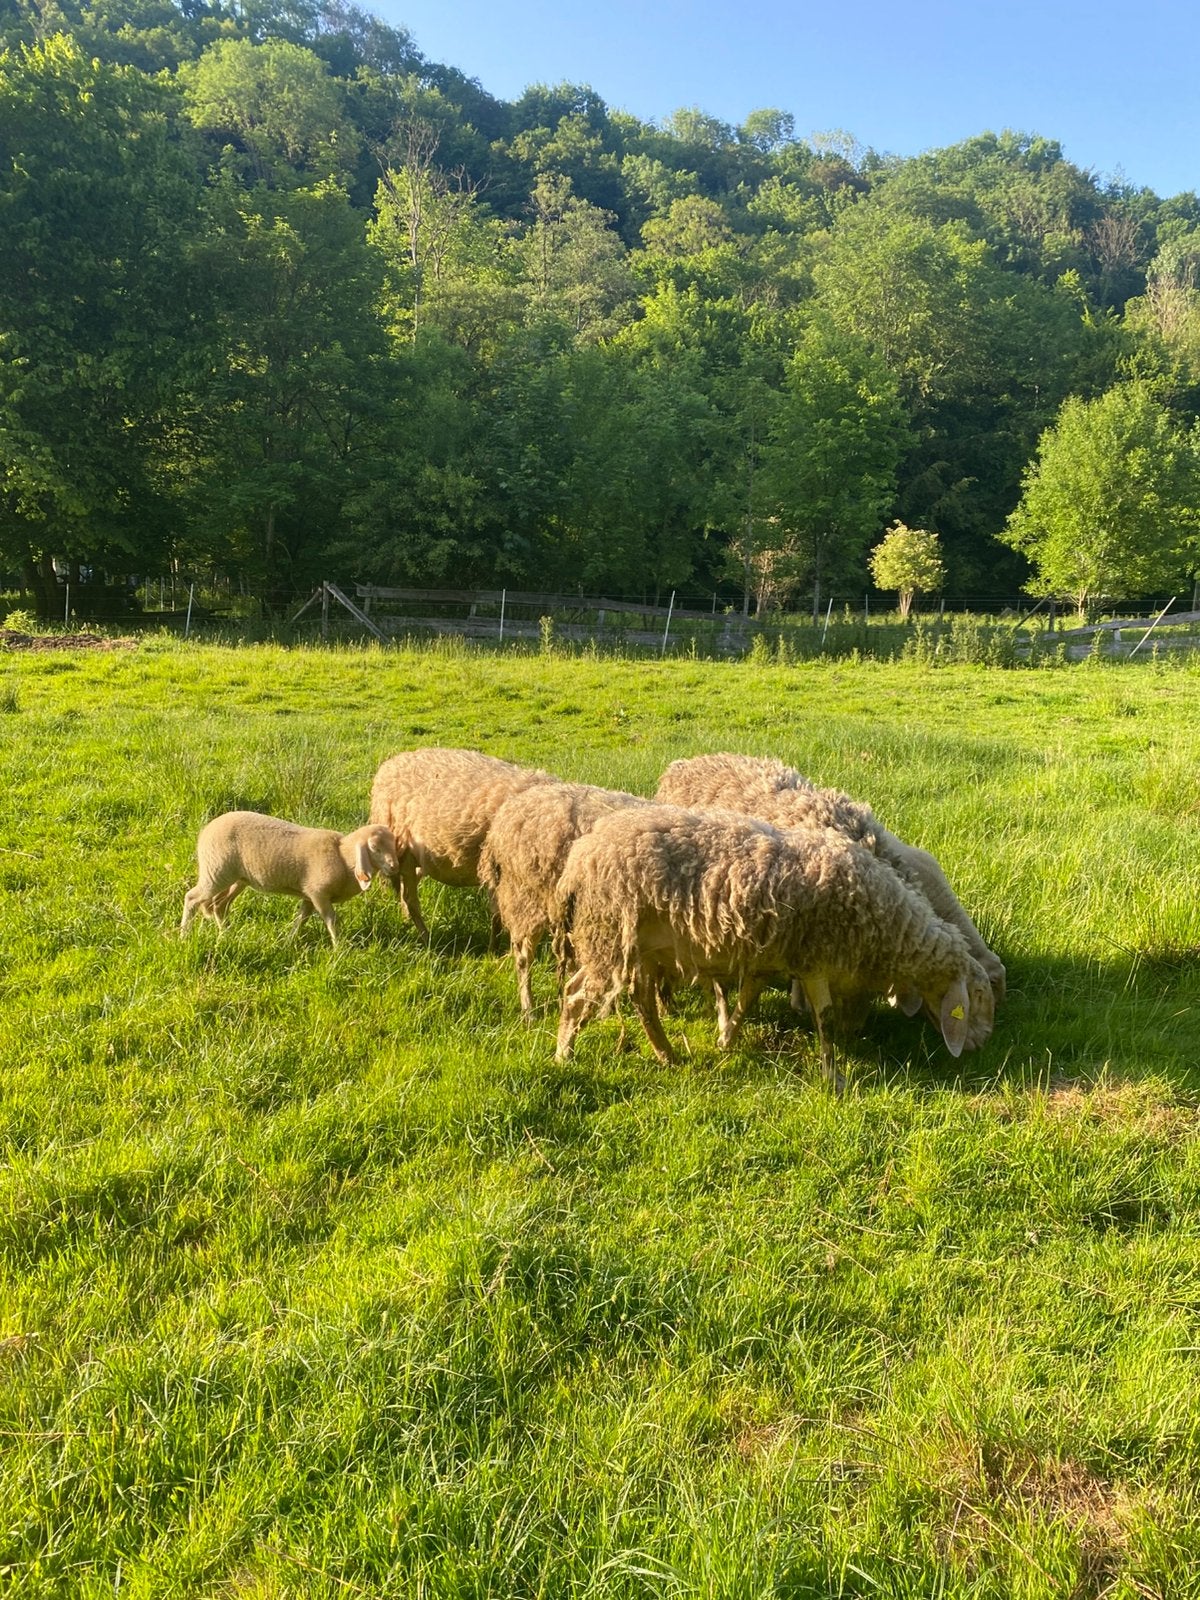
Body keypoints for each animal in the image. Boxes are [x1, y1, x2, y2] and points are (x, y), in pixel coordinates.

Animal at [180, 811, 400, 945]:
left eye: (394, 843)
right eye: (374, 848)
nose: (394, 866)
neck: (343, 856)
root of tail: (206, 830)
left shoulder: (309, 896)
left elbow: (301, 918)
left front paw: (289, 941)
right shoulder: (318, 893)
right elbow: (331, 920)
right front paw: (339, 947)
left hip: (237, 879)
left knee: (219, 905)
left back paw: (227, 935)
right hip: (216, 872)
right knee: (192, 898)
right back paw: (184, 935)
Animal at [368, 747, 556, 936]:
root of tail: (391, 763)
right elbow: (498, 918)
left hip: (420, 857)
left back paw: (407, 920)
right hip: (402, 848)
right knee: (410, 898)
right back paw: (426, 937)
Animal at [552, 804, 995, 1082]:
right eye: (975, 998)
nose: (980, 1046)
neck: (886, 919)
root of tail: (581, 856)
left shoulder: (771, 956)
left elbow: (748, 998)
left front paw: (727, 1039)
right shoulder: (815, 959)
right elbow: (825, 1020)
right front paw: (833, 1079)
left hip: (640, 947)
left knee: (641, 1000)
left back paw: (668, 1055)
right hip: (608, 934)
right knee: (575, 995)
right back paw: (564, 1055)